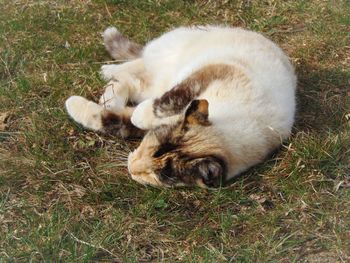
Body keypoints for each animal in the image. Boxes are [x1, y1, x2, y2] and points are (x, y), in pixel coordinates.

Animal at [65, 25, 296, 188]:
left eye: (159, 175)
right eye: (155, 146)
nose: (132, 168)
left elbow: (115, 120)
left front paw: (80, 106)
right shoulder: (217, 72)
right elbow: (170, 99)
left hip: (154, 84)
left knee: (133, 81)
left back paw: (109, 92)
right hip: (171, 57)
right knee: (138, 64)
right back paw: (107, 73)